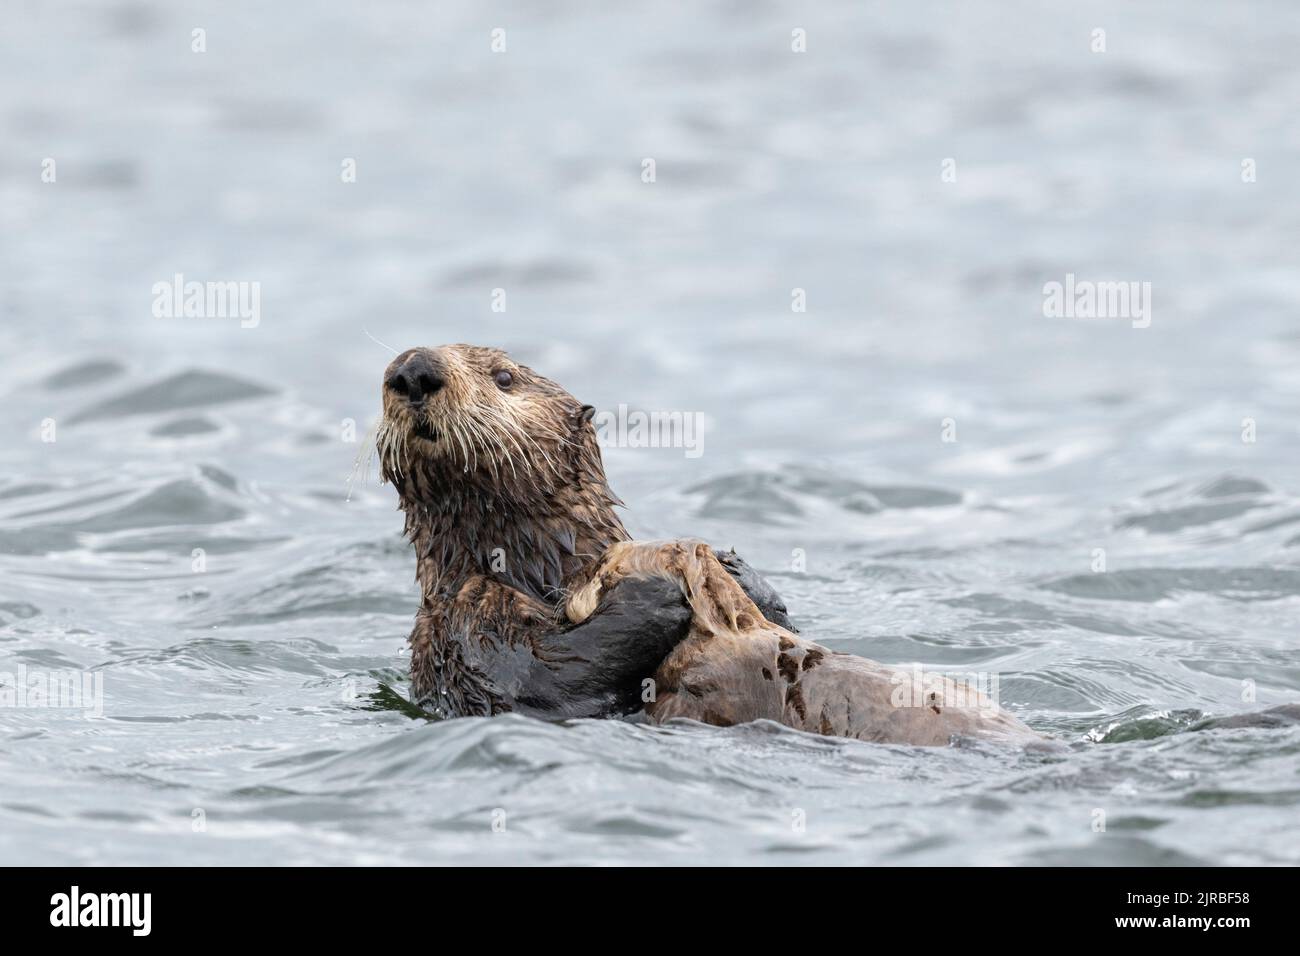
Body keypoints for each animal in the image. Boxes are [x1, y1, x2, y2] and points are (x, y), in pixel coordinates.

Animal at [378, 344, 1042, 745]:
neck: (544, 566)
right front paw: (656, 591)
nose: (414, 370)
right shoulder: (463, 623)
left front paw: (739, 571)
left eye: (504, 377)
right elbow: (547, 676)